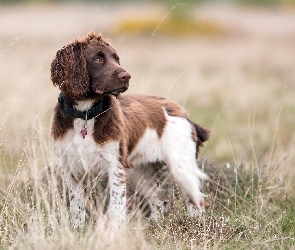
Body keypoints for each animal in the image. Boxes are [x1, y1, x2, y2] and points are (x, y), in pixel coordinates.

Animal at [50, 31, 210, 229]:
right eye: (97, 58)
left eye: (116, 58)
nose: (127, 76)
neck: (85, 114)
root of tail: (184, 114)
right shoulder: (71, 169)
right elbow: (77, 206)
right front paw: (77, 230)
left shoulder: (116, 167)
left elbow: (116, 206)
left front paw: (114, 230)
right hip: (140, 172)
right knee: (160, 201)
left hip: (181, 168)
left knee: (197, 203)